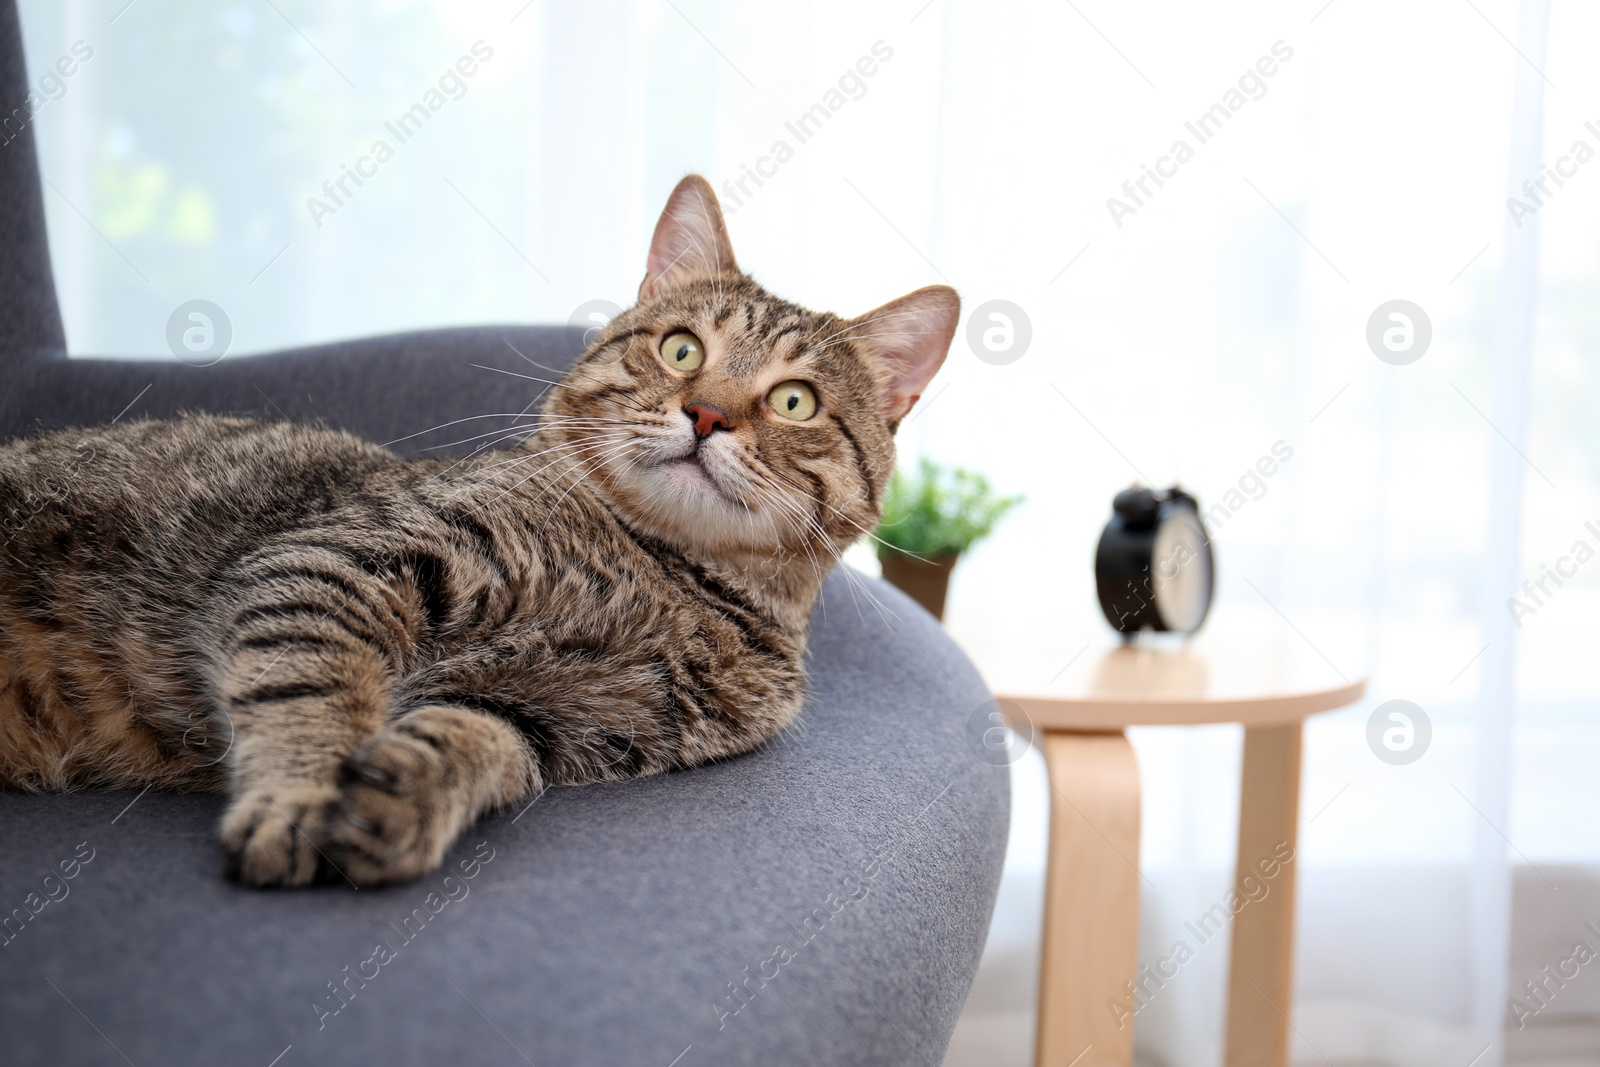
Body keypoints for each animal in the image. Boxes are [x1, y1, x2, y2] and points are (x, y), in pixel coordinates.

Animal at [0, 179, 953, 889]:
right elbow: (313, 686)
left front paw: (406, 793)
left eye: (795, 401)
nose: (708, 413)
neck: (659, 569)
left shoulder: (567, 719)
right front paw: (304, 794)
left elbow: (478, 740)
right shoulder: (338, 559)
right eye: (683, 349)